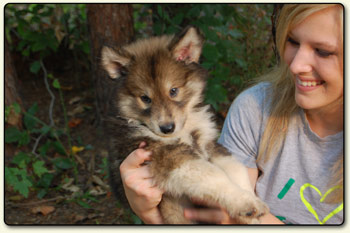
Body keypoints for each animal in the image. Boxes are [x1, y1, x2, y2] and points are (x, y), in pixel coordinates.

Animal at [101, 26, 268, 224]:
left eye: (173, 91)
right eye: (145, 98)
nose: (167, 128)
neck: (185, 130)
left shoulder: (209, 144)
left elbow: (236, 169)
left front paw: (251, 205)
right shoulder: (169, 157)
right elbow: (214, 175)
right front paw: (244, 203)